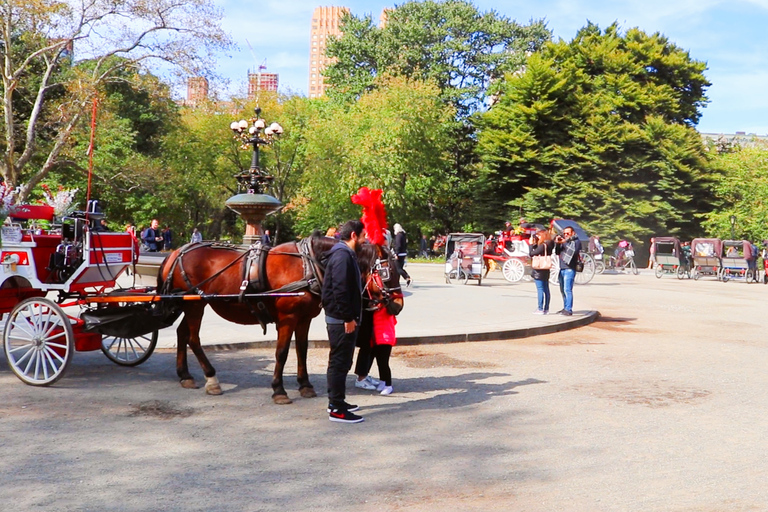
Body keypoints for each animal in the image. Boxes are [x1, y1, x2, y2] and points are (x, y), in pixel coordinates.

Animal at [154, 233, 400, 404]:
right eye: (387, 273)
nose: (398, 304)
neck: (309, 265)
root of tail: (177, 252)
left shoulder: (304, 319)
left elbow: (302, 350)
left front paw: (305, 385)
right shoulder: (288, 318)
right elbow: (282, 352)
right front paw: (279, 390)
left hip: (191, 303)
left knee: (182, 333)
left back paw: (185, 375)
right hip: (195, 304)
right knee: (193, 338)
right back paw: (211, 378)